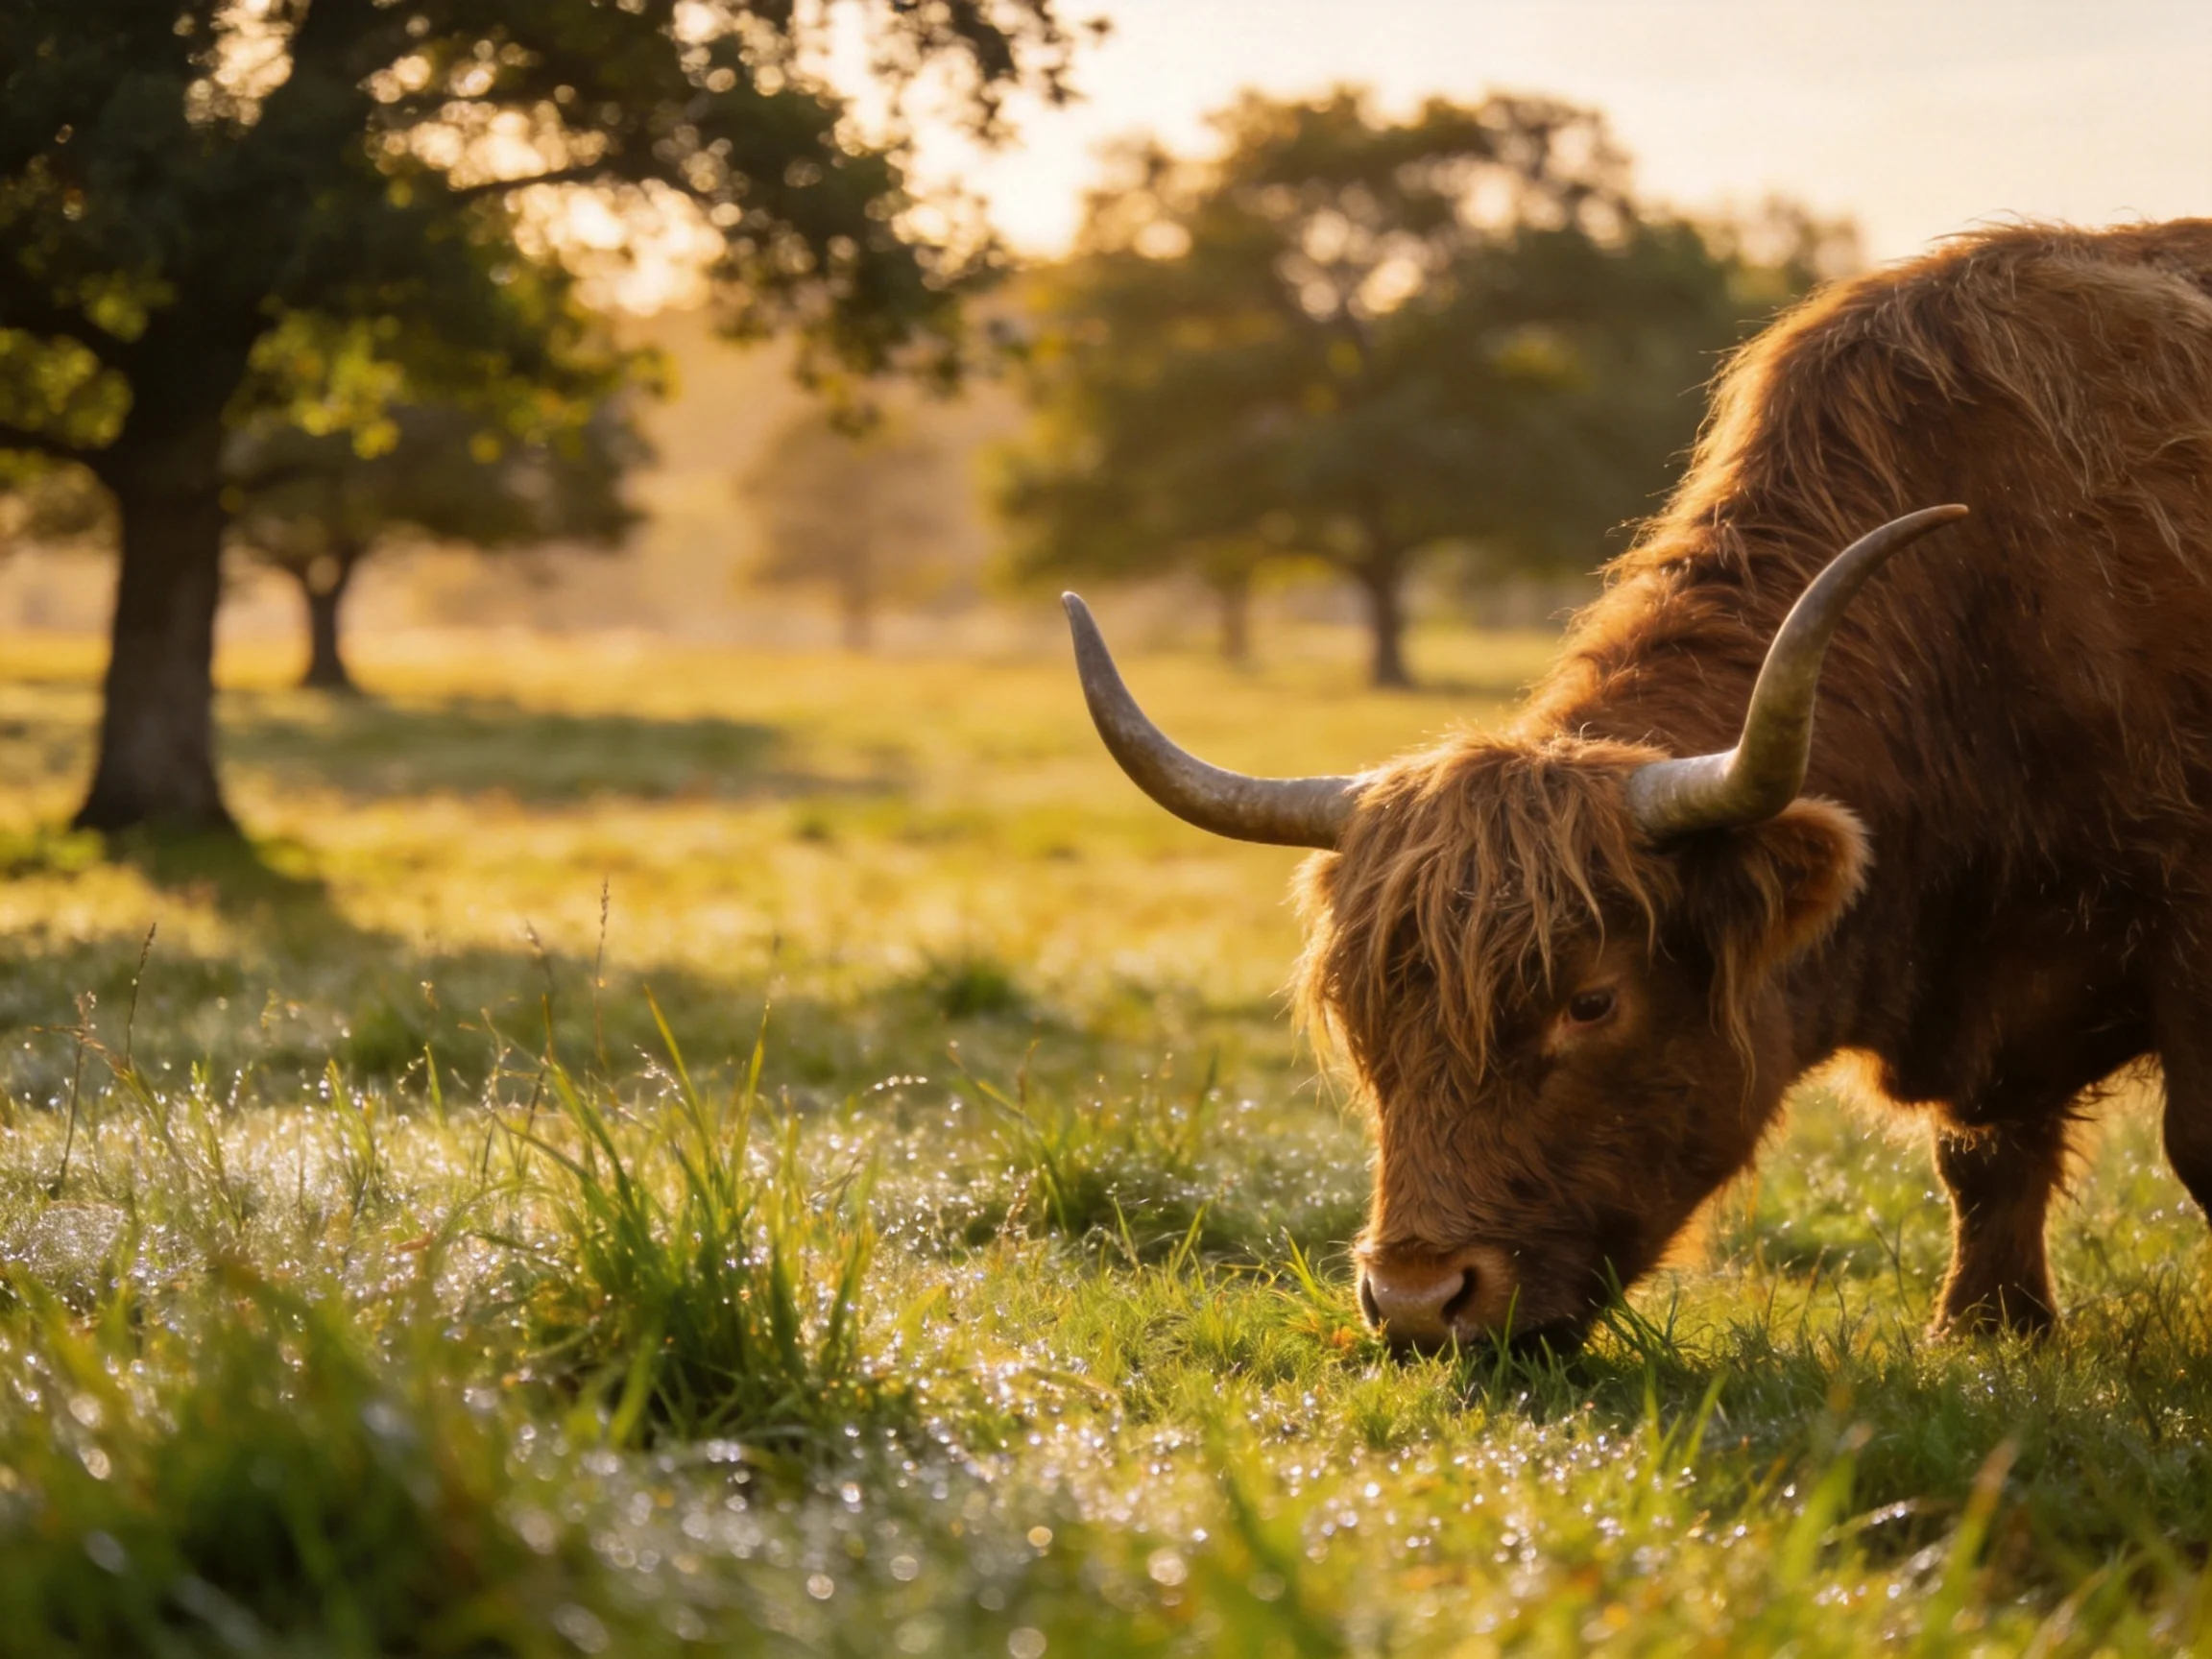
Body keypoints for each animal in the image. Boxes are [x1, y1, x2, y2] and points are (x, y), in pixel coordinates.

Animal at [1060, 220, 2212, 1354]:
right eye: (1360, 1004)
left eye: (1592, 1001)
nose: (1420, 1302)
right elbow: (1985, 1159)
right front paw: (1988, 1328)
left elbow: (2183, 1144)